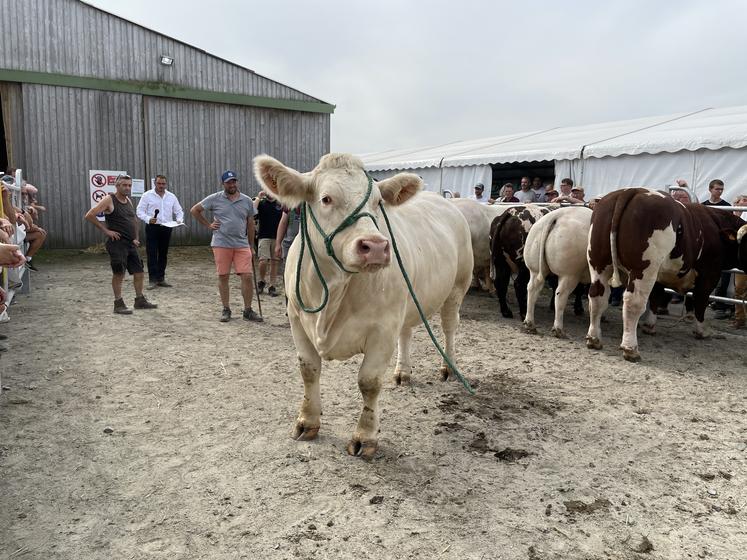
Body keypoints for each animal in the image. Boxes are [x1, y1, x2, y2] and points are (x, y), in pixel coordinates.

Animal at [253, 151, 474, 458]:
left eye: (378, 203)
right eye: (326, 198)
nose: (376, 247)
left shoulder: (382, 329)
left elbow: (368, 382)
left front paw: (365, 437)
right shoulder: (296, 319)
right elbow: (308, 370)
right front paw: (307, 421)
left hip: (457, 287)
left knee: (450, 327)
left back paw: (449, 367)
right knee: (407, 332)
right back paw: (403, 372)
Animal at [524, 206, 592, 336]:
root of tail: (557, 215)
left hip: (534, 269)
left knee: (532, 289)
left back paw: (530, 324)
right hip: (570, 274)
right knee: (561, 295)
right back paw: (558, 329)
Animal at [588, 188, 744, 364]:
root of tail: (633, 190)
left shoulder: (659, 276)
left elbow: (657, 297)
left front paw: (649, 325)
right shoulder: (709, 275)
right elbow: (700, 302)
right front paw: (702, 331)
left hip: (598, 263)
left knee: (597, 296)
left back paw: (594, 339)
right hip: (643, 269)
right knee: (633, 302)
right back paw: (630, 348)